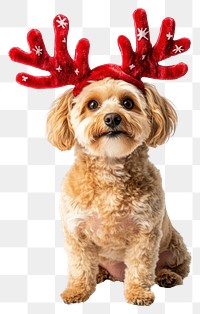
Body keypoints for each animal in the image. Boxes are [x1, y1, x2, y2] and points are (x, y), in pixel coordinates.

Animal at [46, 77, 191, 306]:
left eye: (128, 103)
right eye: (92, 104)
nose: (112, 118)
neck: (110, 172)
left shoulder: (145, 232)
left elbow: (140, 267)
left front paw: (138, 293)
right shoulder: (76, 232)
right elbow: (80, 266)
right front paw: (77, 290)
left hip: (175, 247)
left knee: (175, 267)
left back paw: (168, 276)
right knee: (95, 266)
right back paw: (98, 275)